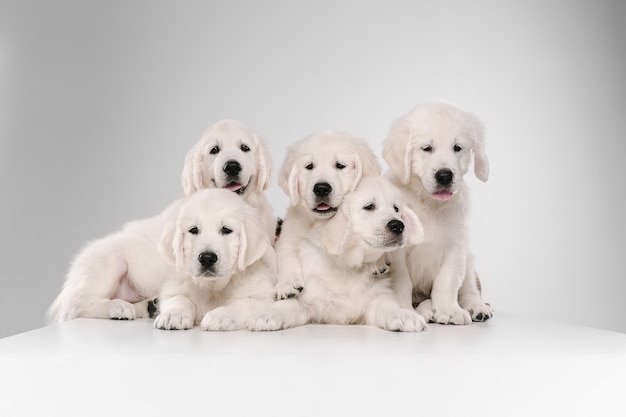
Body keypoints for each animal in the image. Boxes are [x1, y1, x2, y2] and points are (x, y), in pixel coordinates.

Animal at [155, 189, 284, 332]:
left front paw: (219, 315)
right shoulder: (174, 285)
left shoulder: (260, 295)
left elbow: (241, 304)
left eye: (226, 229)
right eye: (193, 230)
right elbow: (179, 298)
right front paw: (173, 314)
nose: (207, 258)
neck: (214, 287)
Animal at [272, 132, 380, 298]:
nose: (321, 188)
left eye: (340, 165)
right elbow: (286, 254)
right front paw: (287, 284)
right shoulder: (289, 233)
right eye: (309, 166)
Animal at [276, 176, 426, 332]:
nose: (399, 225)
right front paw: (271, 313)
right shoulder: (312, 297)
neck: (348, 267)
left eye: (396, 209)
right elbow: (292, 304)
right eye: (369, 206)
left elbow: (387, 307)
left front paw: (404, 315)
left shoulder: (377, 297)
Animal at [380, 101, 492, 324]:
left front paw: (449, 310)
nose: (444, 176)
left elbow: (447, 282)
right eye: (427, 148)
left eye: (457, 148)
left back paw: (476, 307)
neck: (429, 203)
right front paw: (405, 310)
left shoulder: (455, 246)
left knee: (470, 288)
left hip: (469, 259)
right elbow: (402, 282)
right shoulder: (398, 251)